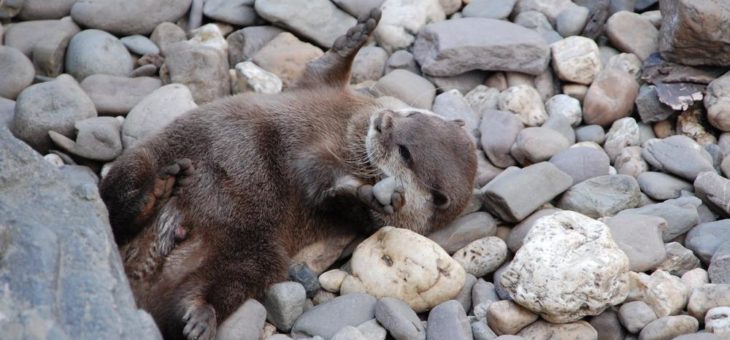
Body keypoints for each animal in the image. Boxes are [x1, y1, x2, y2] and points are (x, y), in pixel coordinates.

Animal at [99, 9, 474, 340]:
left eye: (405, 153)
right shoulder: (317, 90)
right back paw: (161, 187)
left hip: (256, 255)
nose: (383, 121)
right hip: (146, 157)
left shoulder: (330, 184)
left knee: (220, 281)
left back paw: (202, 314)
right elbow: (323, 69)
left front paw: (365, 193)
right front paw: (358, 33)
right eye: (411, 115)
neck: (348, 128)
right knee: (117, 205)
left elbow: (321, 184)